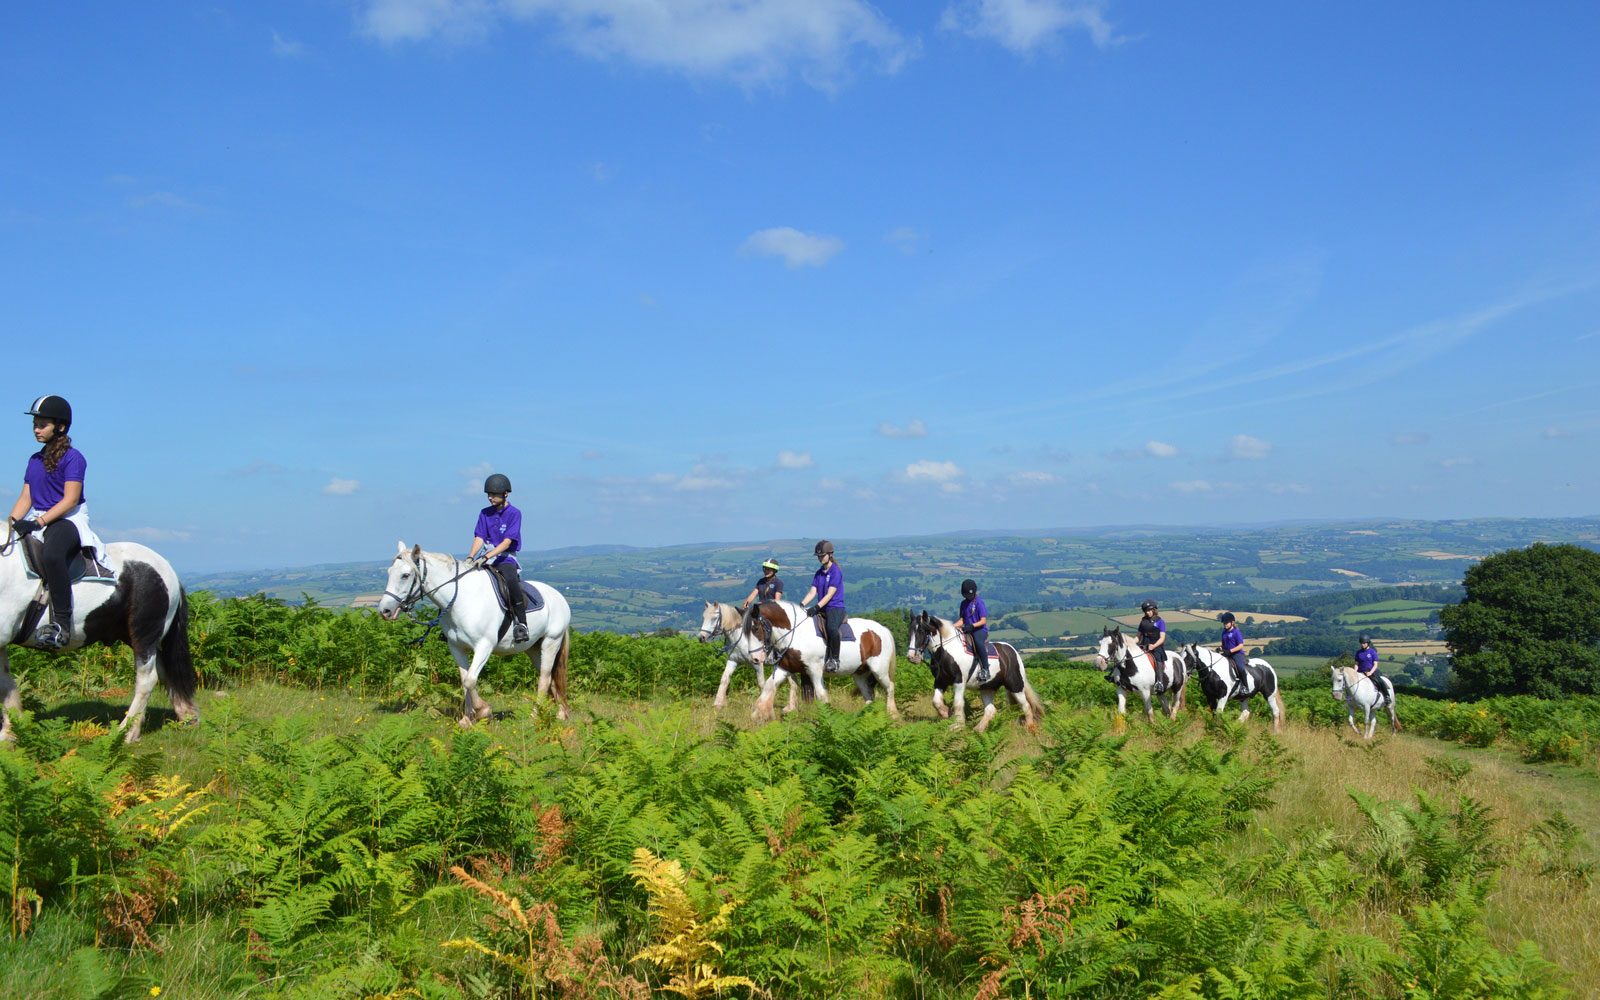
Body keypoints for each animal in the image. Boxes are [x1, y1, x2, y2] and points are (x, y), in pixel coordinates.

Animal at [0, 531, 198, 742]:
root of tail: (168, 569)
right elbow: (6, 684)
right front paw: (10, 732)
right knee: (163, 669)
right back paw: (187, 715)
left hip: (144, 634)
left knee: (147, 679)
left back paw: (127, 732)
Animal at [739, 595, 896, 720]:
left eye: (756, 629)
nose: (755, 658)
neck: (796, 633)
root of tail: (883, 629)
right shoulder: (783, 668)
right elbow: (768, 686)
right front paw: (758, 715)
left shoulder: (814, 669)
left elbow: (821, 695)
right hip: (860, 673)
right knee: (868, 696)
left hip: (879, 670)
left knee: (890, 687)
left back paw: (892, 714)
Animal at [908, 611, 1043, 729]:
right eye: (910, 631)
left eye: (921, 631)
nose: (911, 657)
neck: (947, 652)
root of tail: (1012, 651)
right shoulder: (940, 681)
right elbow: (936, 702)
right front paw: (946, 713)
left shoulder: (959, 681)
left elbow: (957, 703)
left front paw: (957, 726)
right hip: (987, 688)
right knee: (990, 710)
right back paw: (978, 729)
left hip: (1015, 685)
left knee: (1026, 706)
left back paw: (1030, 727)